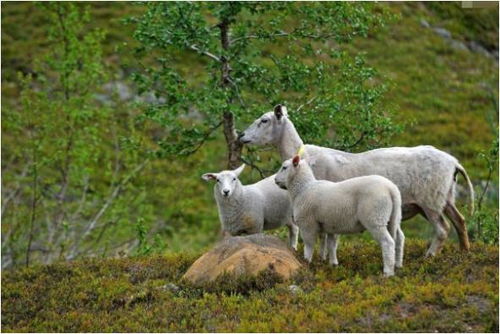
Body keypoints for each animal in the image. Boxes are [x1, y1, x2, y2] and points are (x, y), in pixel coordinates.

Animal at [240, 105, 474, 258]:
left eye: (264, 120)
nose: (241, 135)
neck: (303, 156)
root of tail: (454, 161)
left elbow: (326, 238)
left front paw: (322, 260)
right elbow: (328, 237)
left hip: (430, 200)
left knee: (443, 229)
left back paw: (429, 256)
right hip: (445, 197)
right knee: (460, 222)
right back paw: (465, 252)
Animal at [274, 155, 402, 276]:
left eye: (284, 167)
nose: (275, 180)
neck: (303, 189)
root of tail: (391, 188)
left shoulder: (307, 225)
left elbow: (309, 246)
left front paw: (306, 262)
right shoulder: (332, 225)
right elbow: (332, 245)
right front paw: (333, 264)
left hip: (375, 218)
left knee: (387, 242)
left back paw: (388, 273)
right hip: (393, 217)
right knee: (398, 238)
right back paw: (397, 265)